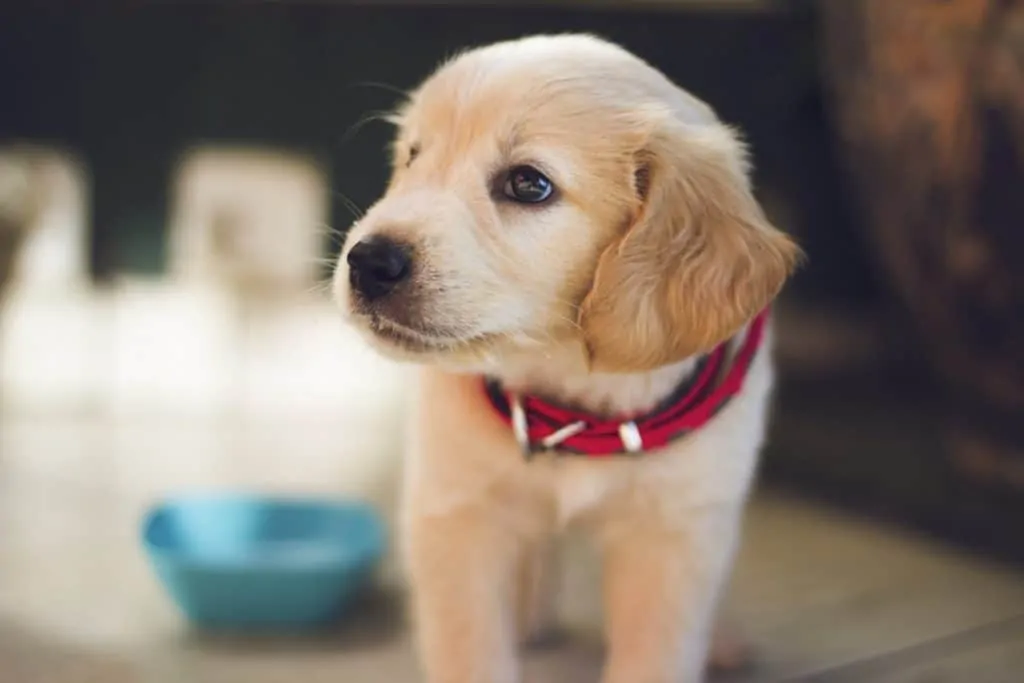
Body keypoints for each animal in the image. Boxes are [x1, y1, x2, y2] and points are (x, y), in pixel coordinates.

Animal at [331, 34, 802, 683]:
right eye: (412, 157)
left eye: (529, 184)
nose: (368, 262)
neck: (571, 395)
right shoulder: (455, 513)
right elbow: (468, 646)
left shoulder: (674, 533)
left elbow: (655, 654)